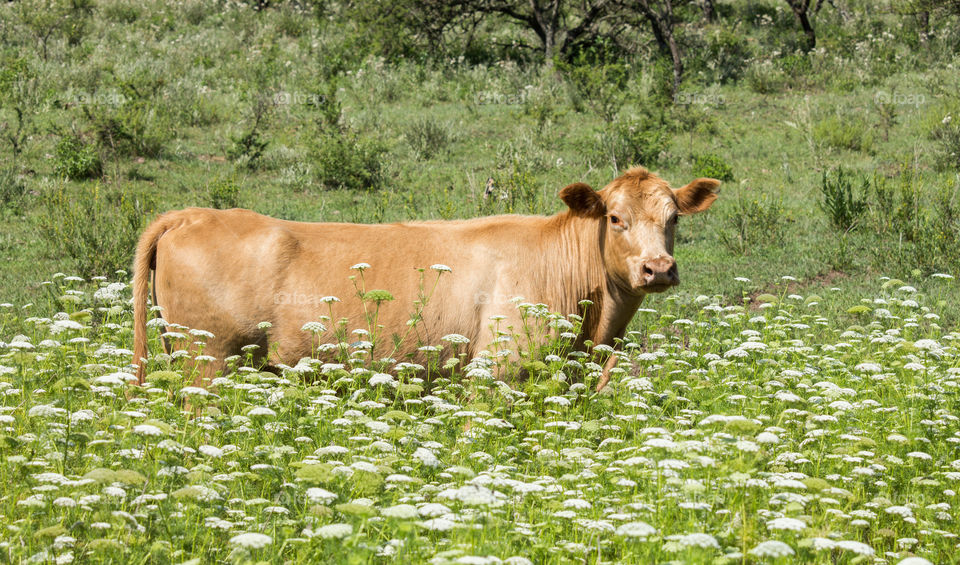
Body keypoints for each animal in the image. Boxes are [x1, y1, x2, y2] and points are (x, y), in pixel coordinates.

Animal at [132, 167, 719, 390]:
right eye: (615, 218)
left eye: (674, 218)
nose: (658, 268)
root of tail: (191, 214)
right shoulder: (496, 374)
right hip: (208, 361)